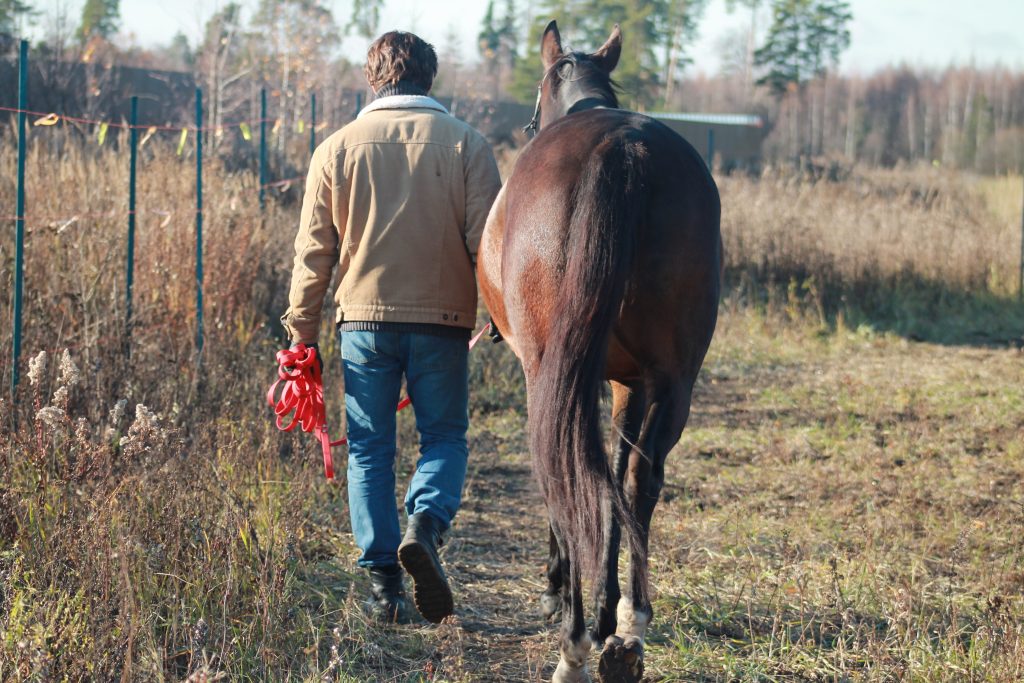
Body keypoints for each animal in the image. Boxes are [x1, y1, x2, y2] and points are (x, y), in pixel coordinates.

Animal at [477, 21, 720, 683]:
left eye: (532, 112)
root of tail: (622, 147)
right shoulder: (630, 383)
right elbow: (615, 475)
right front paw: (613, 608)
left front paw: (560, 589)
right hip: (674, 379)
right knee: (640, 477)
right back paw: (629, 631)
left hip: (553, 369)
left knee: (564, 468)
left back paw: (575, 643)